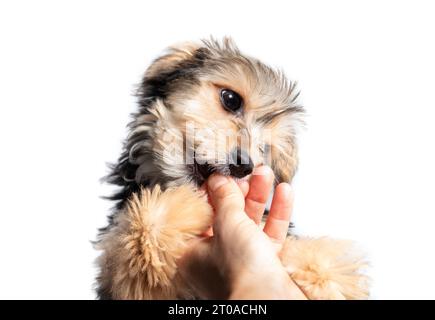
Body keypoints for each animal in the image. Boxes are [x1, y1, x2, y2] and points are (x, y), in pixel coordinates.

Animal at [96, 38, 372, 300]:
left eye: (264, 148)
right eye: (231, 100)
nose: (243, 166)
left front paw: (324, 277)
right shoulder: (120, 268)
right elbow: (144, 228)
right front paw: (182, 212)